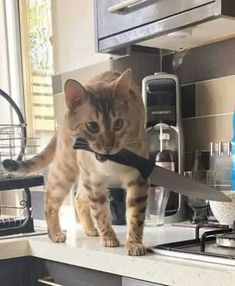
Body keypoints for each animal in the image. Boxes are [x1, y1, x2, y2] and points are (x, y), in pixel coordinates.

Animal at [2, 68, 148, 255]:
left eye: (119, 124)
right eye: (92, 126)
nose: (108, 146)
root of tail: (63, 120)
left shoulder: (137, 178)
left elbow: (136, 216)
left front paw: (134, 243)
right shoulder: (94, 181)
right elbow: (100, 213)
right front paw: (108, 238)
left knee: (79, 199)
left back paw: (90, 229)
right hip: (66, 172)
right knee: (50, 201)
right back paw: (55, 233)